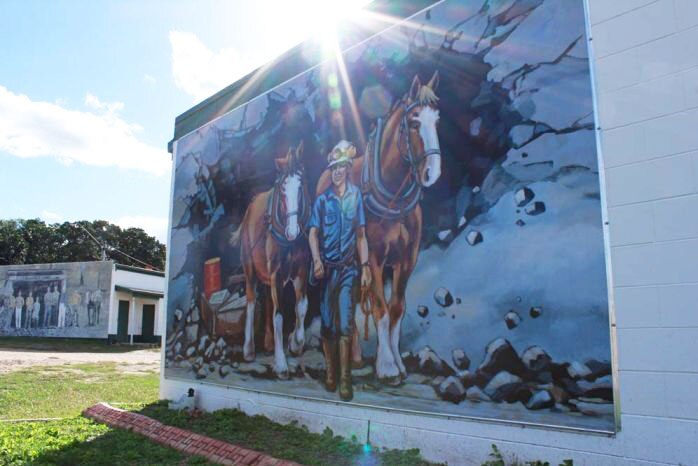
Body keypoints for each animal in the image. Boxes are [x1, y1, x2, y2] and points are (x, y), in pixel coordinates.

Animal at [230, 142, 308, 378]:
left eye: (301, 187)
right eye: (282, 189)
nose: (292, 232)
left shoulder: (301, 271)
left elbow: (302, 307)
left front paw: (295, 343)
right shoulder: (276, 273)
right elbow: (279, 316)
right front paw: (281, 364)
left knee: (267, 301)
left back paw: (268, 343)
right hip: (249, 268)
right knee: (252, 300)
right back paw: (249, 349)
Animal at [316, 69, 440, 382]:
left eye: (437, 120)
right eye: (414, 122)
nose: (432, 173)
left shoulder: (406, 259)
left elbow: (396, 309)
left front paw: (397, 362)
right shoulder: (371, 257)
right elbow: (381, 310)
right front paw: (386, 367)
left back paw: (357, 356)